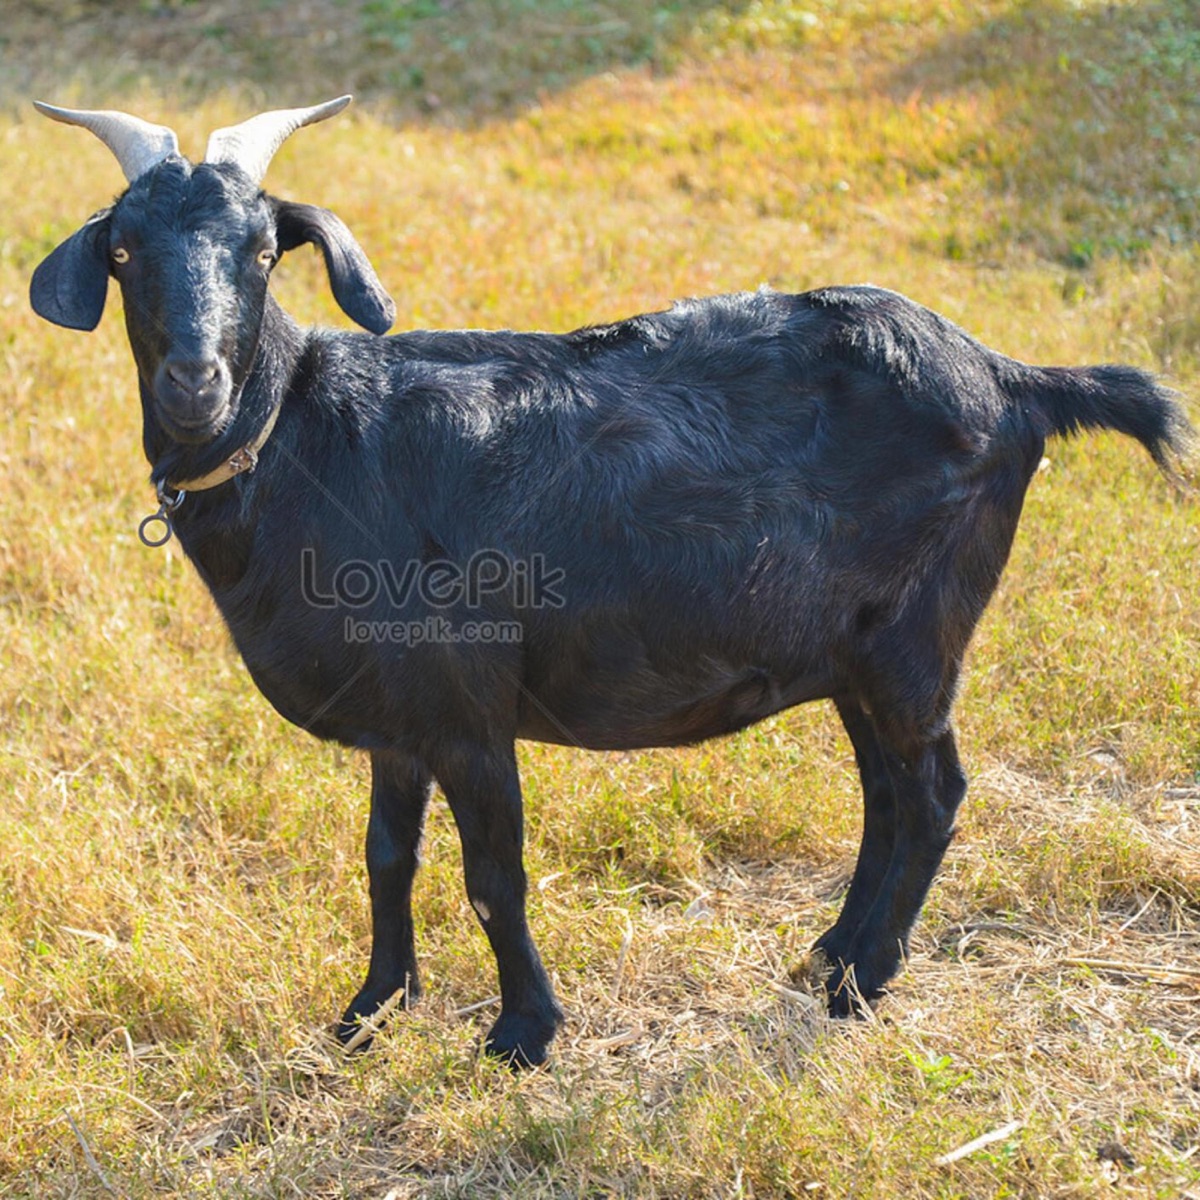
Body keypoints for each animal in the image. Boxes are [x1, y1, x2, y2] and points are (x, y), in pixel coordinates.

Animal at [30, 97, 1193, 1067]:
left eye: (266, 251)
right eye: (124, 250)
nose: (196, 381)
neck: (307, 435)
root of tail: (1011, 378)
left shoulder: (466, 704)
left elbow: (493, 876)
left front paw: (522, 1035)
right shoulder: (397, 719)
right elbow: (386, 857)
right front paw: (369, 1013)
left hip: (918, 637)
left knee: (935, 792)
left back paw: (859, 985)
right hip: (854, 652)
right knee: (887, 796)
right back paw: (829, 956)